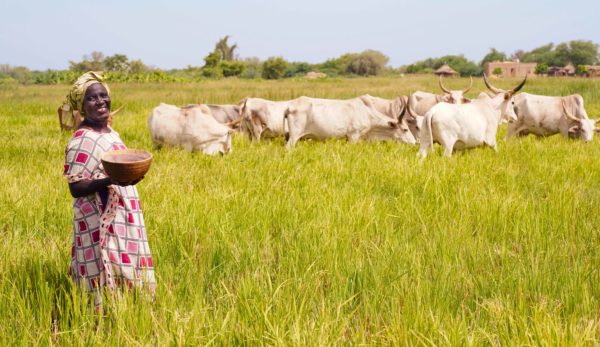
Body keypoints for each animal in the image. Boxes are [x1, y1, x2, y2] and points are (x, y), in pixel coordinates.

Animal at [284, 96, 414, 150]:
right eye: (405, 129)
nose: (414, 142)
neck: (367, 113)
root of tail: (290, 106)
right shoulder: (353, 136)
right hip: (294, 136)